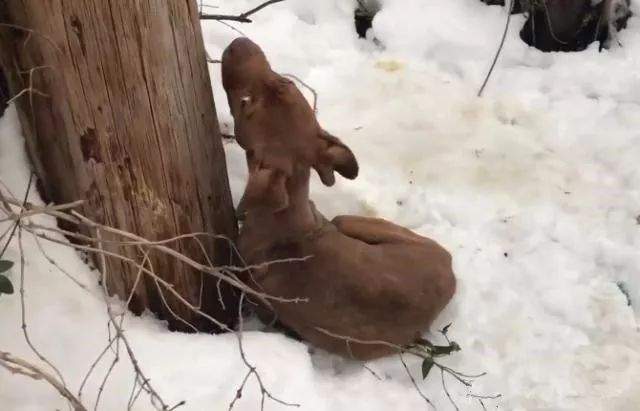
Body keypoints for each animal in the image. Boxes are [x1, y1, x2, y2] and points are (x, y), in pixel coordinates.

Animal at [220, 38, 456, 360]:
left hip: (346, 219)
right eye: (286, 81)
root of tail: (451, 270)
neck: (285, 218)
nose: (238, 43)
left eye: (245, 103)